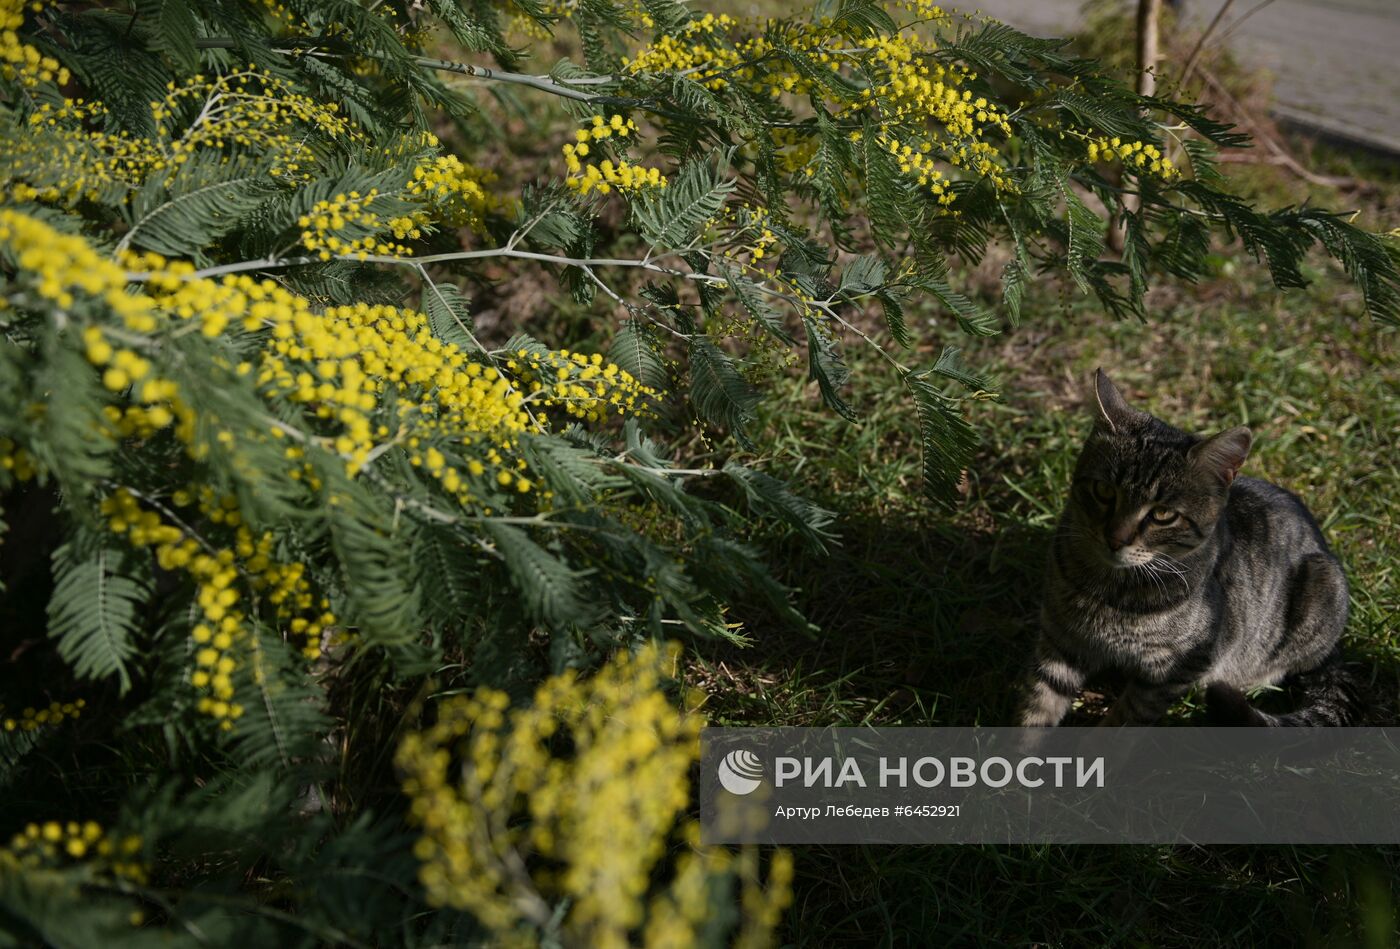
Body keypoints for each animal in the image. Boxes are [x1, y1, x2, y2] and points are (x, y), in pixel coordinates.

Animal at [1019, 372, 1355, 727]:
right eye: (1103, 491)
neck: (1108, 592)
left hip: (1323, 587)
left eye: (1163, 514)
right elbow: (1036, 708)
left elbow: (1125, 718)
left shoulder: (1175, 670)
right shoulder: (1060, 639)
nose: (1115, 538)